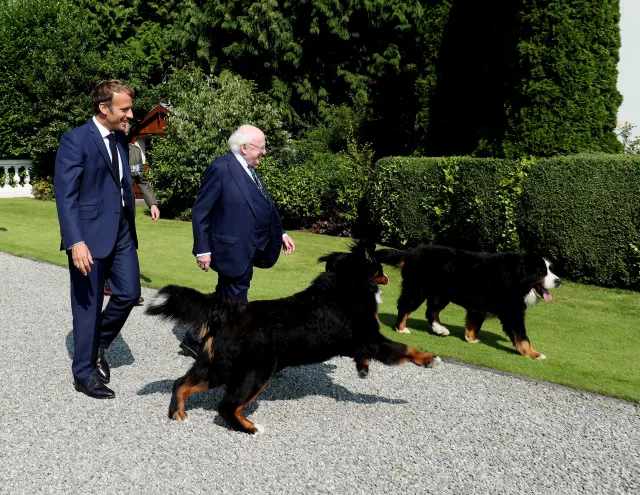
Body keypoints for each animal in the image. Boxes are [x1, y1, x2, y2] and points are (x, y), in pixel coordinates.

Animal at [148, 242, 442, 436]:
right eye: (379, 267)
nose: (388, 276)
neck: (345, 285)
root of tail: (229, 310)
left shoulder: (355, 342)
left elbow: (363, 354)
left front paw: (363, 368)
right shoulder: (372, 338)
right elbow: (404, 348)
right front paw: (428, 358)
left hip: (216, 366)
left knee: (181, 384)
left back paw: (178, 413)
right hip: (254, 372)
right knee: (227, 406)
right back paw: (250, 428)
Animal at [376, 247, 560, 360]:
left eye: (551, 270)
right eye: (542, 272)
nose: (558, 281)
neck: (516, 275)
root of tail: (411, 252)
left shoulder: (478, 307)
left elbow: (474, 324)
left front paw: (471, 339)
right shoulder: (512, 312)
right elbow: (522, 336)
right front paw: (534, 354)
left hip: (440, 294)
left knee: (431, 312)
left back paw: (440, 329)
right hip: (417, 290)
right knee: (405, 307)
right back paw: (401, 328)